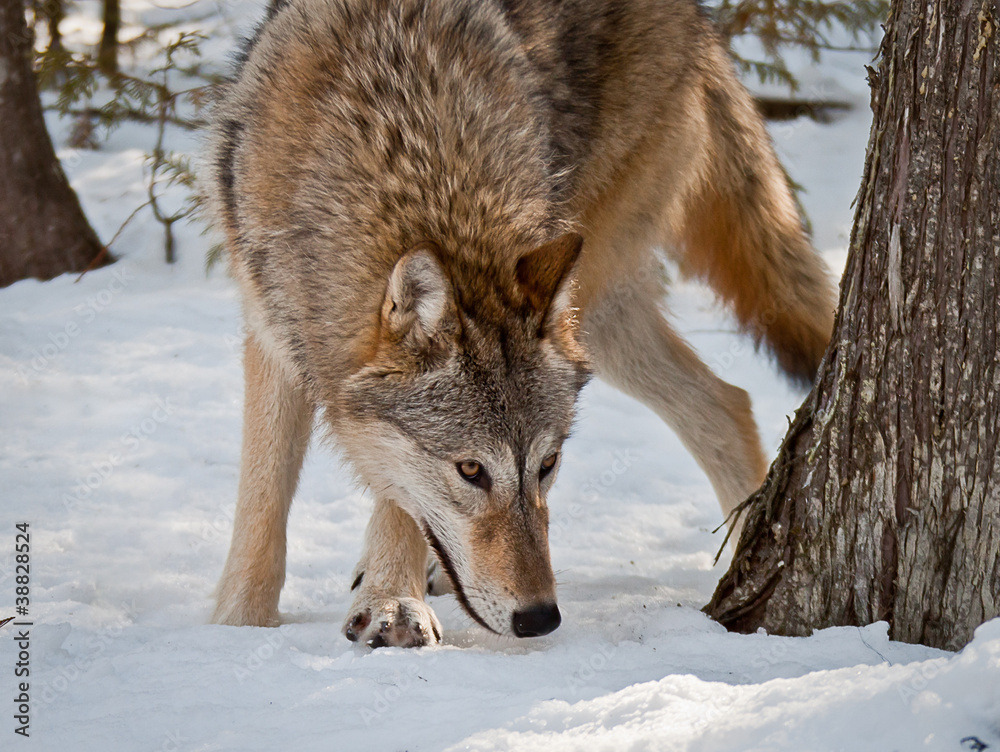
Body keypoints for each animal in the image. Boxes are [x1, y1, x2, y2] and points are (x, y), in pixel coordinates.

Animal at [206, 0, 836, 648]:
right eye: (471, 470)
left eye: (547, 465)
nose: (541, 619)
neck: (404, 135)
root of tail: (699, 22)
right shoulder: (271, 328)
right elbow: (262, 502)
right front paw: (236, 626)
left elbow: (397, 497)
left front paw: (391, 603)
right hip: (600, 317)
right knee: (728, 401)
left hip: (591, 287)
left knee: (728, 401)